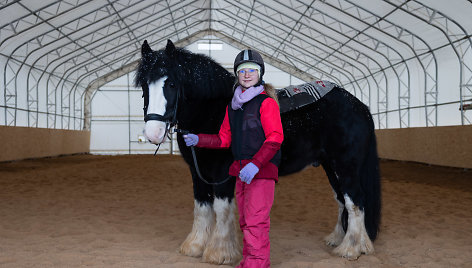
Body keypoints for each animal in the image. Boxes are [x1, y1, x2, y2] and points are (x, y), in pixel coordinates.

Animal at [135, 39, 382, 264]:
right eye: (145, 86)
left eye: (171, 84)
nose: (153, 132)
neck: (213, 110)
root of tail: (360, 106)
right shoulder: (198, 172)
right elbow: (202, 207)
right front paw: (195, 246)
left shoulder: (222, 174)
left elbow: (221, 209)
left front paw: (220, 253)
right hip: (331, 166)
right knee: (342, 200)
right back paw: (344, 240)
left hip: (346, 166)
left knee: (355, 201)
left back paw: (350, 249)